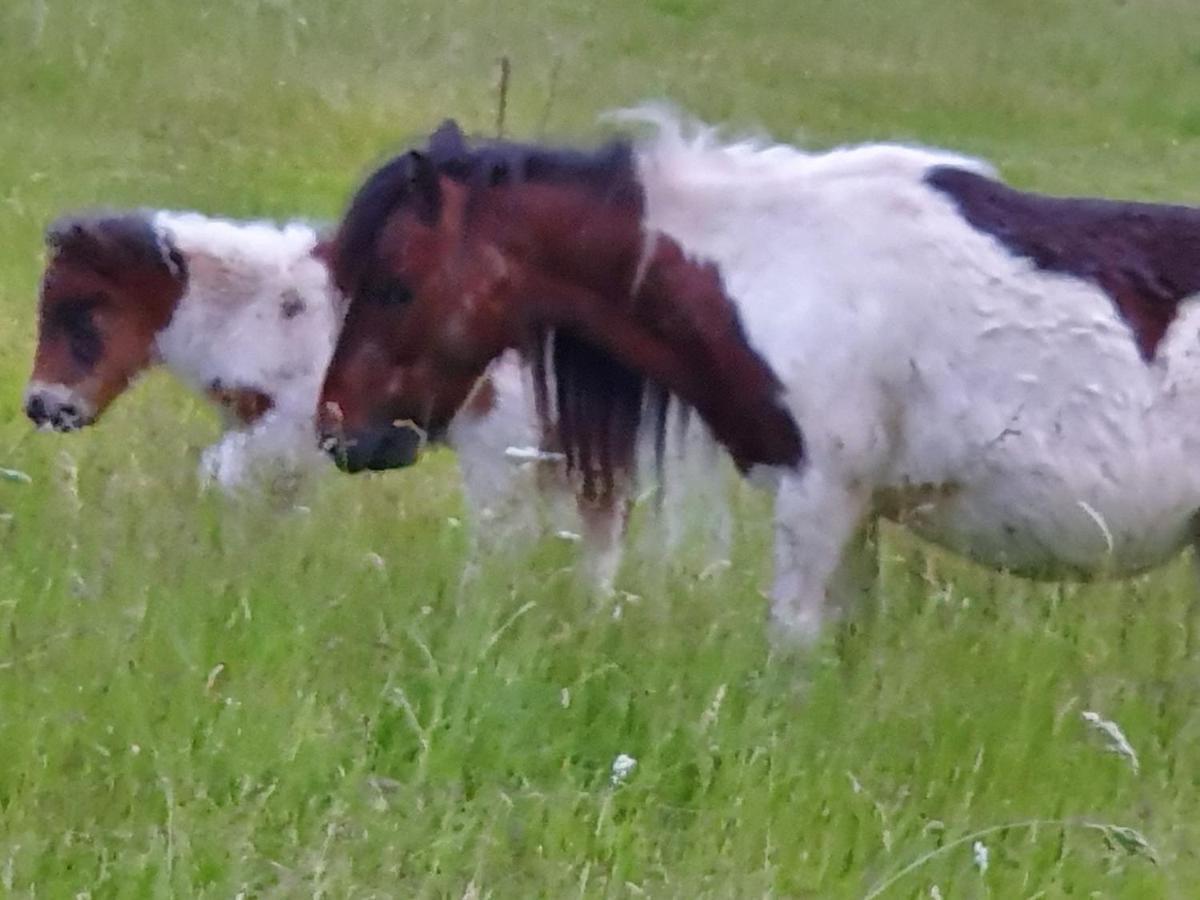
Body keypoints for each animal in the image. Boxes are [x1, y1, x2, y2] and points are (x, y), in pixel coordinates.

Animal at [326, 111, 1200, 648]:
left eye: (394, 285)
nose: (339, 430)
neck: (778, 264)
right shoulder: (856, 511)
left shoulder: (821, 493)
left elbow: (794, 641)